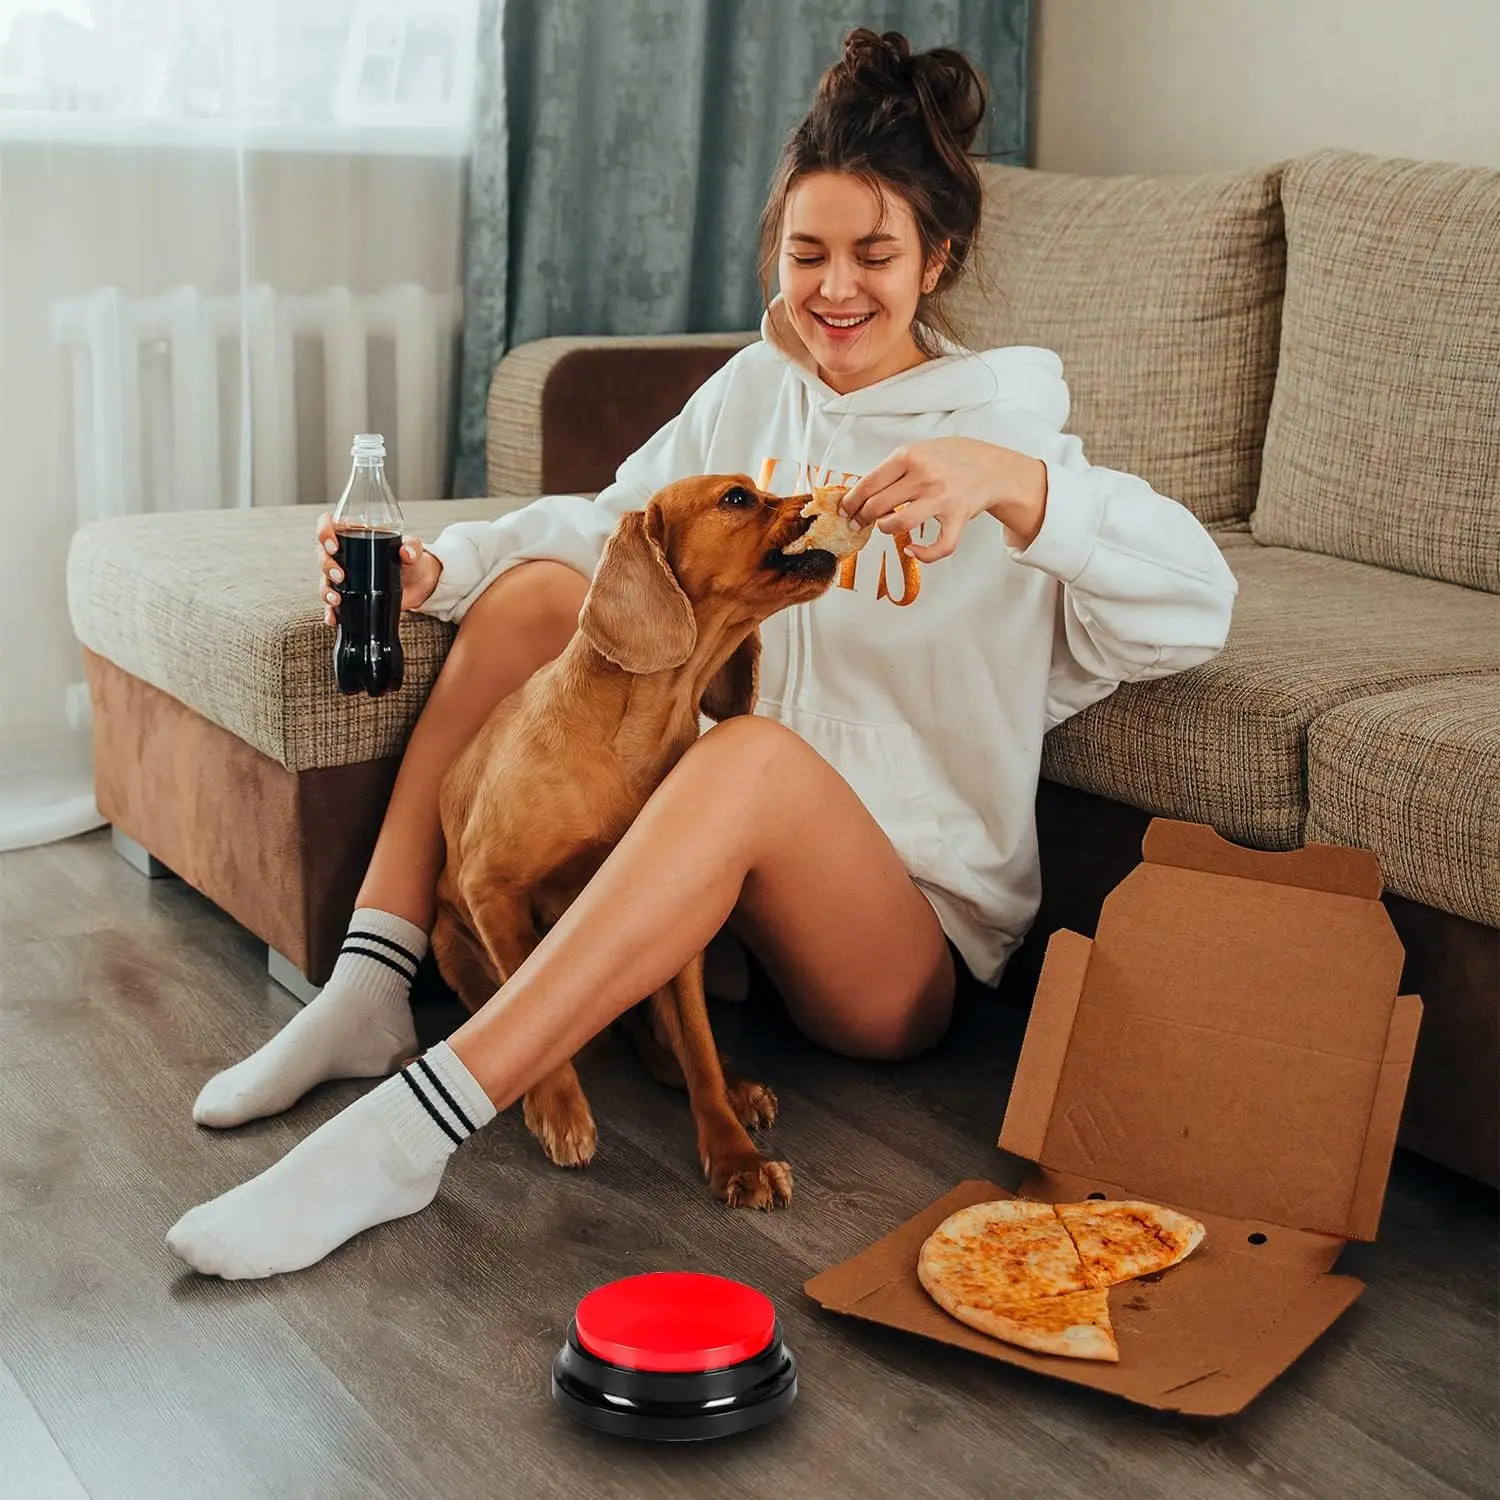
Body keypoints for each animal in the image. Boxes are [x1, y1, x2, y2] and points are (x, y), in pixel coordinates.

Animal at [435, 477, 858, 1206]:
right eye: (738, 497)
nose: (821, 499)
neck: (634, 732)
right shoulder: (492, 890)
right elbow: (533, 1004)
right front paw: (559, 1109)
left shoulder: (676, 923)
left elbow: (698, 1045)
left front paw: (734, 1153)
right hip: (450, 942)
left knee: (669, 1046)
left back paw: (733, 1087)